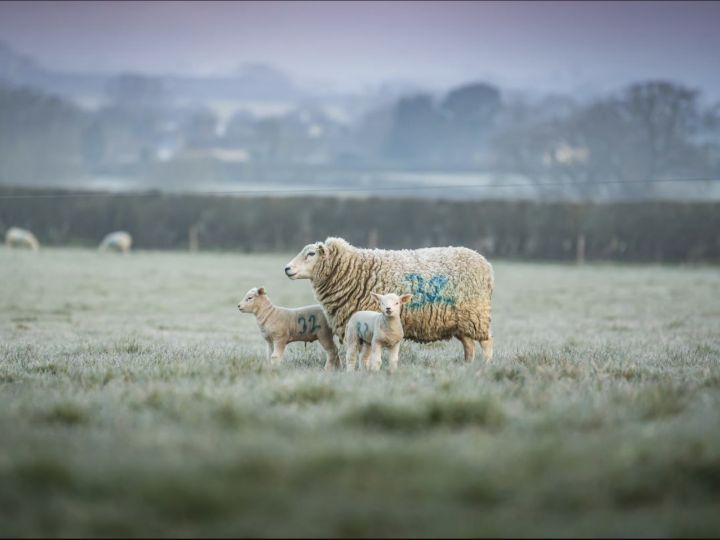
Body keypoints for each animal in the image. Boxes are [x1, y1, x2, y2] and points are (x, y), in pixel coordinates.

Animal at [284, 236, 492, 362]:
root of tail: (486, 264)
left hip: (477, 315)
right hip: (462, 321)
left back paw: (485, 366)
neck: (353, 270)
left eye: (311, 254)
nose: (287, 268)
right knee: (469, 345)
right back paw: (467, 366)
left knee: (486, 343)